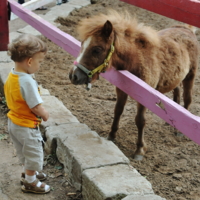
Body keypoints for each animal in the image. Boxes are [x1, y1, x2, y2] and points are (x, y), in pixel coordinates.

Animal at [69, 10, 198, 160]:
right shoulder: (121, 89)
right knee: (176, 92)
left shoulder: (144, 97)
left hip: (190, 75)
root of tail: (186, 29)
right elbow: (118, 110)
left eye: (97, 49)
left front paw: (139, 150)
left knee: (187, 99)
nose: (73, 76)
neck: (135, 61)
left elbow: (140, 120)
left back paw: (180, 131)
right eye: (82, 44)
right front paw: (111, 135)